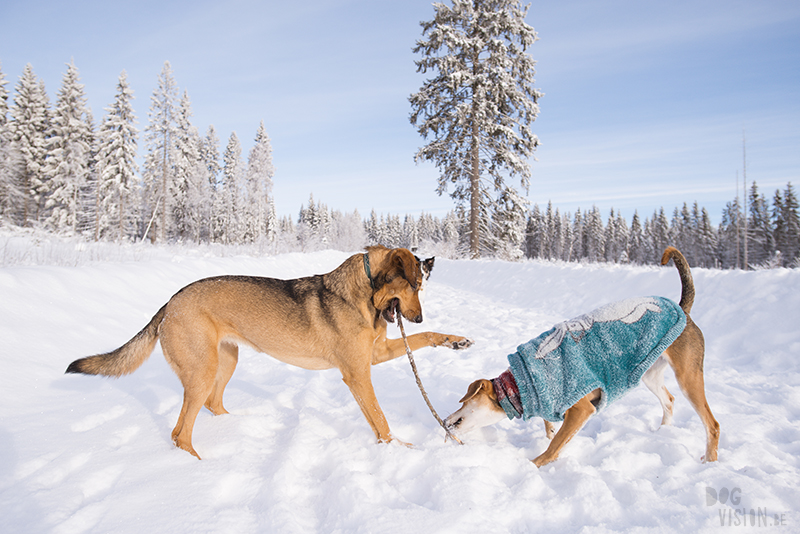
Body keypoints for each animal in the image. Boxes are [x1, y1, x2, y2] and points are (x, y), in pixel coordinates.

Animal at [69, 248, 472, 460]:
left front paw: (454, 340)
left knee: (212, 405)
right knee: (180, 432)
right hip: (202, 370)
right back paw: (197, 468)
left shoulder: (375, 355)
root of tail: (169, 304)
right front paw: (398, 449)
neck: (366, 291)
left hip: (227, 361)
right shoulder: (358, 372)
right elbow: (381, 419)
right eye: (415, 285)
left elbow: (423, 341)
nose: (418, 317)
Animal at [444, 249, 720, 466]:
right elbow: (551, 429)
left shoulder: (581, 408)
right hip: (649, 373)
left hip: (688, 377)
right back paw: (663, 431)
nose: (445, 420)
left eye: (464, 401)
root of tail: (682, 311)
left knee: (712, 425)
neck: (519, 386)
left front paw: (534, 464)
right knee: (670, 400)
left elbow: (555, 444)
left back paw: (710, 461)